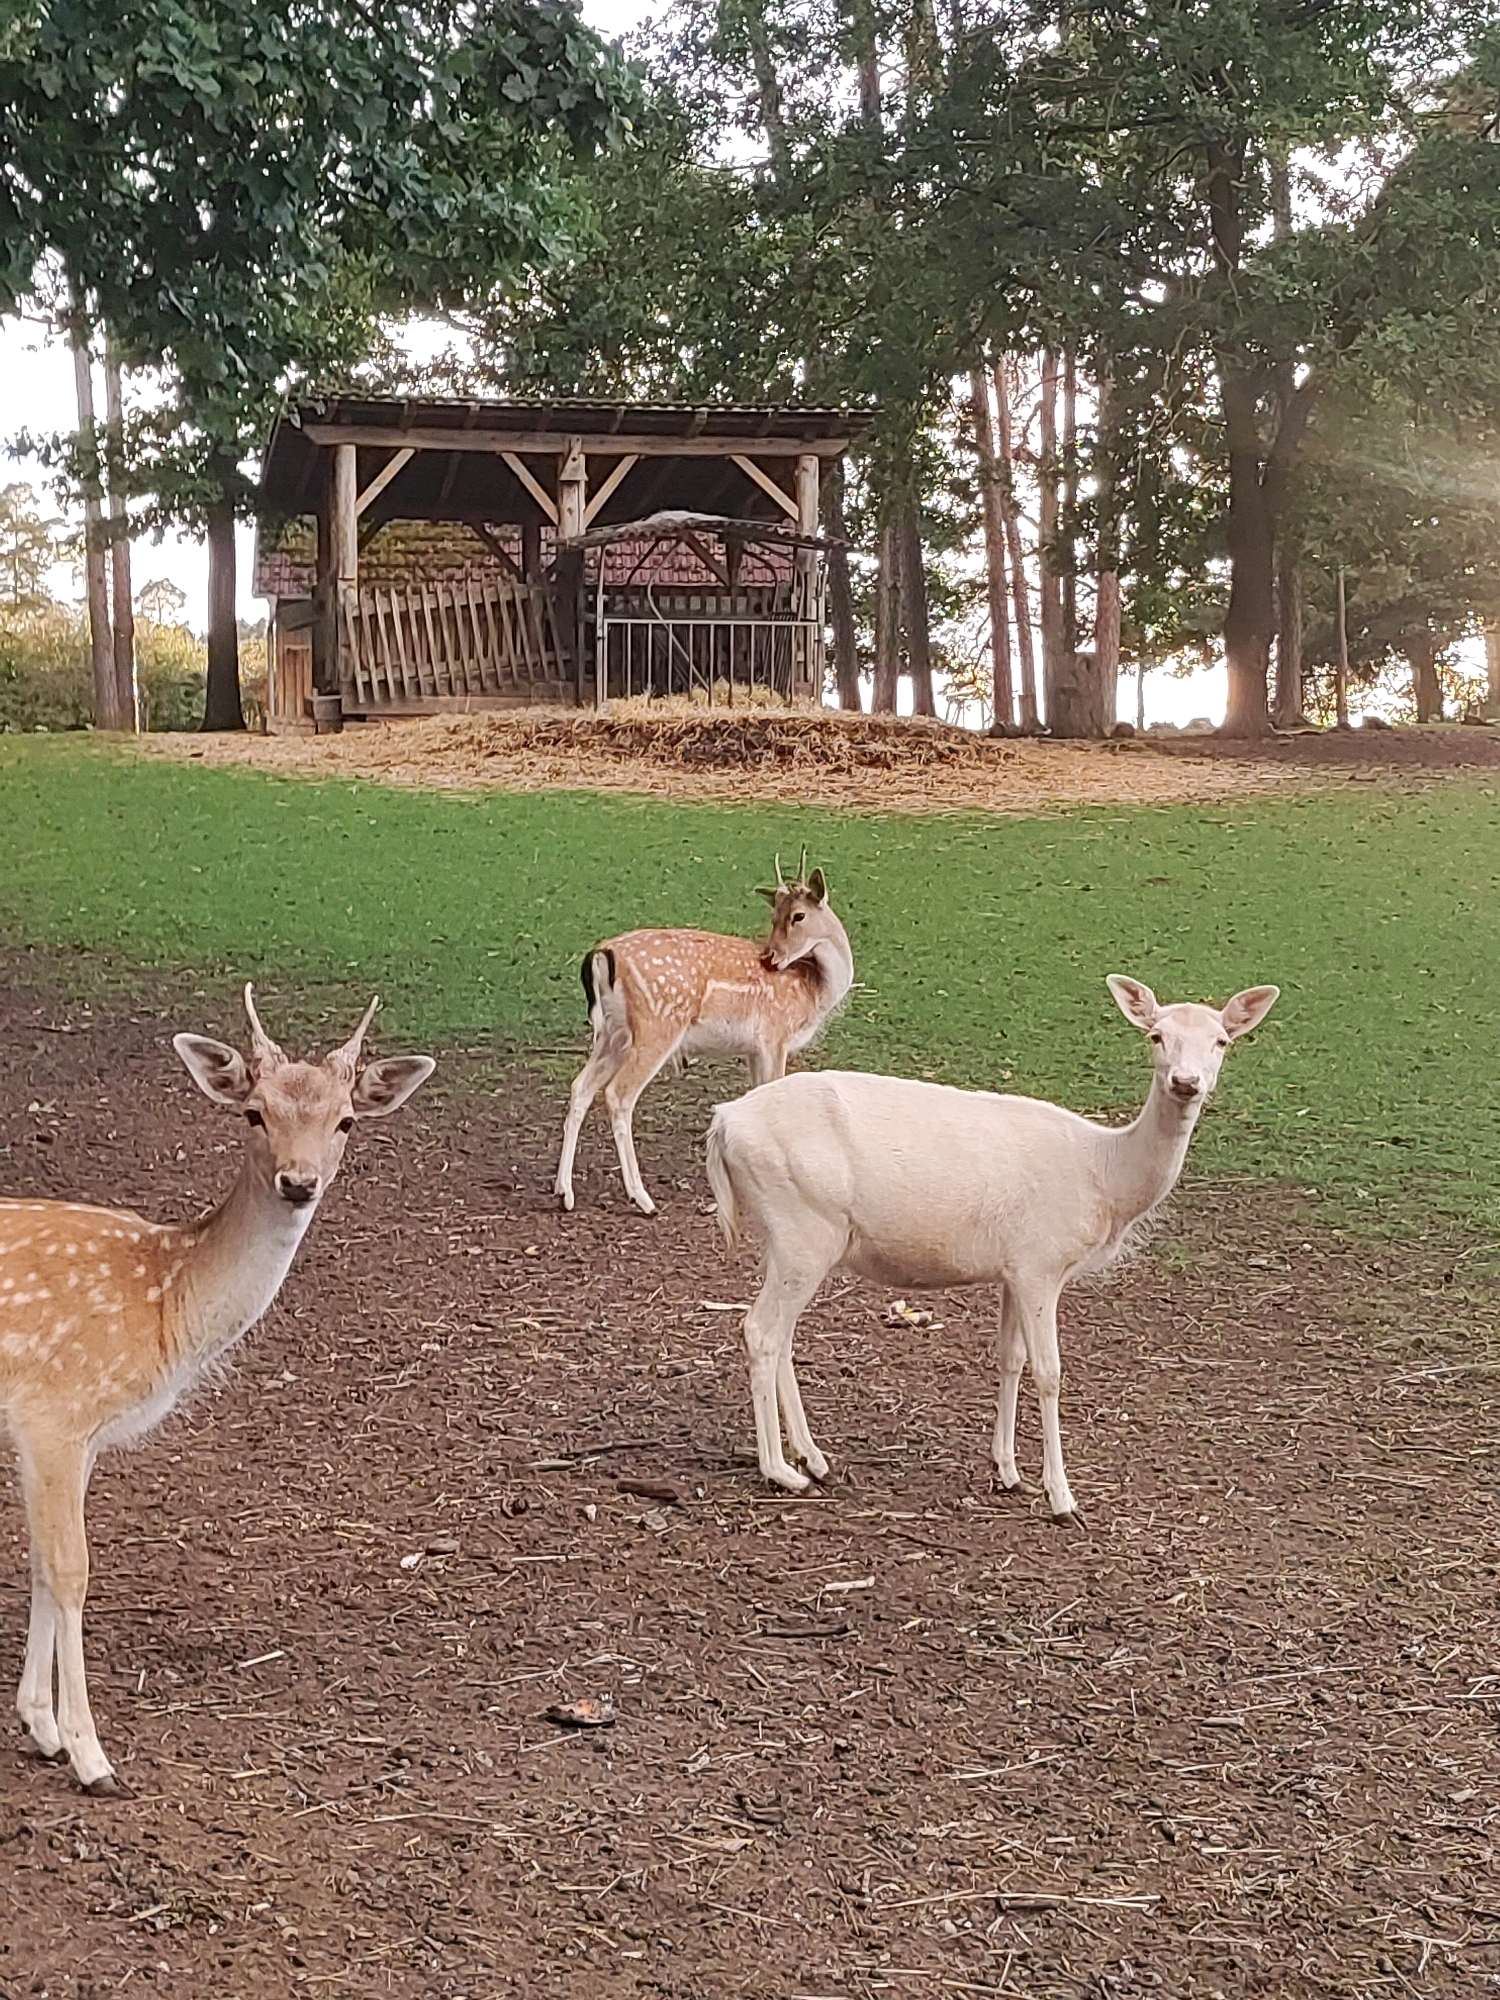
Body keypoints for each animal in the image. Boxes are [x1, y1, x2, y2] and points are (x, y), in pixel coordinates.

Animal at [1, 987, 434, 1794]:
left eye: (347, 1120)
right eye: (253, 1112)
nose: (299, 1181)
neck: (164, 1304)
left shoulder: (57, 1434)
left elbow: (42, 1561)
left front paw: (39, 1727)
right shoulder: (56, 1410)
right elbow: (72, 1569)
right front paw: (91, 1757)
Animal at [554, 853, 854, 1216]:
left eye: (797, 915)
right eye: (775, 916)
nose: (770, 958)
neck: (814, 990)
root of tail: (600, 955)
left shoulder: (754, 1047)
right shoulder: (775, 1035)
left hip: (614, 1033)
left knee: (580, 1086)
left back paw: (564, 1193)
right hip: (658, 1024)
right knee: (618, 1094)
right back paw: (643, 1199)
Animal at [705, 974, 1279, 1512]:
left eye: (1222, 1041)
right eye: (1156, 1035)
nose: (1186, 1082)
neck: (1106, 1176)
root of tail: (723, 1123)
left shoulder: (1013, 1268)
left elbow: (1010, 1358)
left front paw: (1008, 1472)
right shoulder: (1041, 1262)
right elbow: (1049, 1372)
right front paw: (1061, 1497)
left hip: (785, 1234)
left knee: (781, 1335)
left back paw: (814, 1458)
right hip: (804, 1225)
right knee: (760, 1330)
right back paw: (782, 1471)